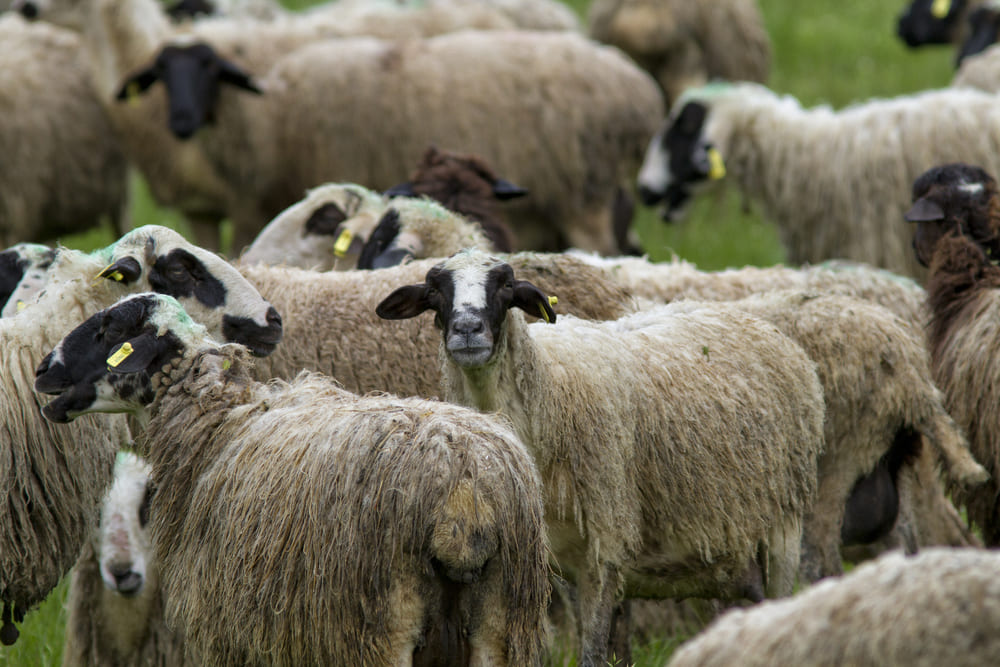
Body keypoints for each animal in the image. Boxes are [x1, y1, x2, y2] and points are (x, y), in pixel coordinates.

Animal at [108, 26, 664, 256]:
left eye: (210, 69)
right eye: (160, 75)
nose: (180, 123)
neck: (271, 112)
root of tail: (636, 85)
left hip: (585, 194)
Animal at [376, 248, 826, 667]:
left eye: (505, 285)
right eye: (434, 291)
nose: (467, 330)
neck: (548, 390)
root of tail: (756, 322)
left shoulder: (604, 543)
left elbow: (593, 652)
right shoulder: (559, 559)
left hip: (784, 523)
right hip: (716, 544)